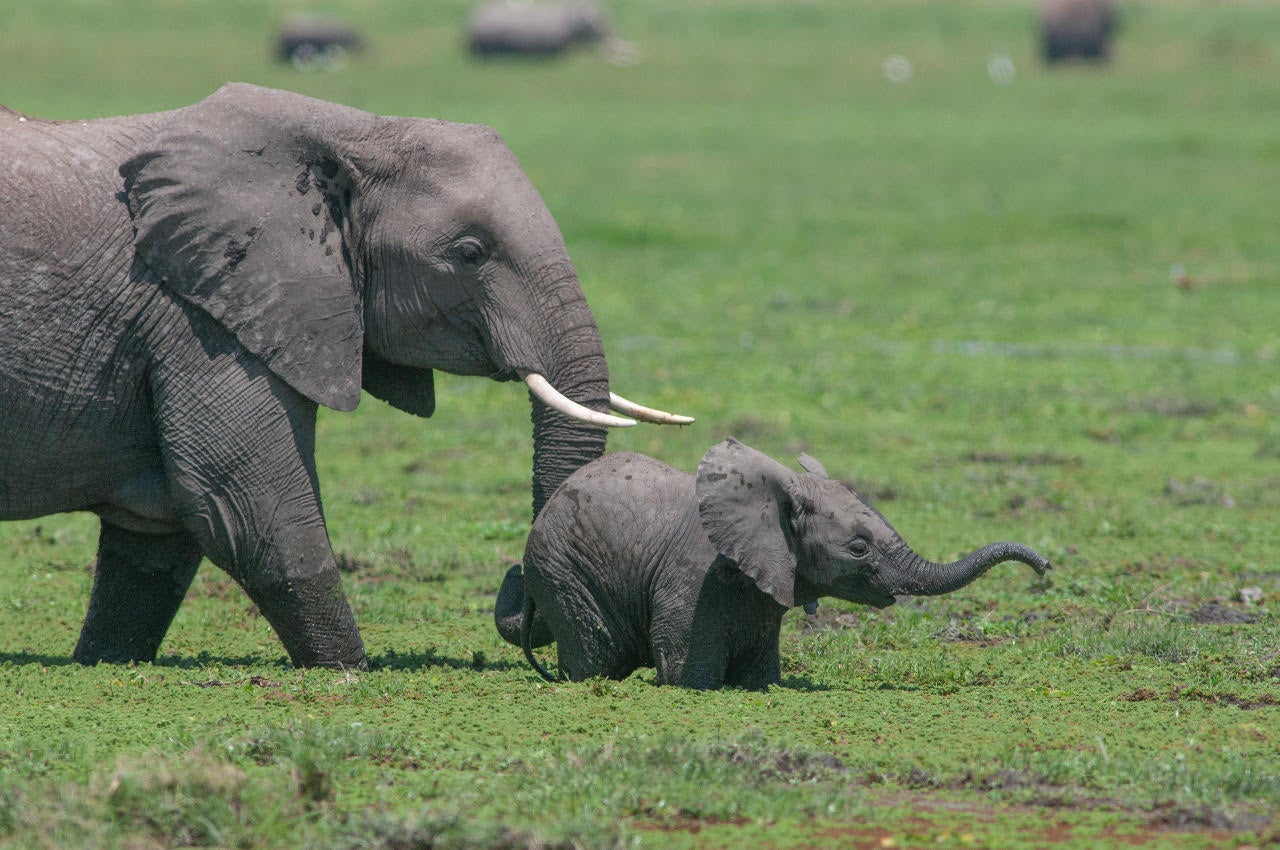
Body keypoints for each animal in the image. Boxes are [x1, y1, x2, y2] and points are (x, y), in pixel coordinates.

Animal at [0, 84, 691, 670]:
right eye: (469, 253)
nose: (520, 596)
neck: (353, 130)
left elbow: (154, 539)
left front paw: (100, 663)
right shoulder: (199, 318)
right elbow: (248, 508)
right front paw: (349, 671)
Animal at [496, 437, 1049, 691]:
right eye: (858, 548)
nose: (1043, 568)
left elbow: (760, 677)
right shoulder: (693, 579)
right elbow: (687, 675)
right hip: (563, 571)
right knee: (599, 657)